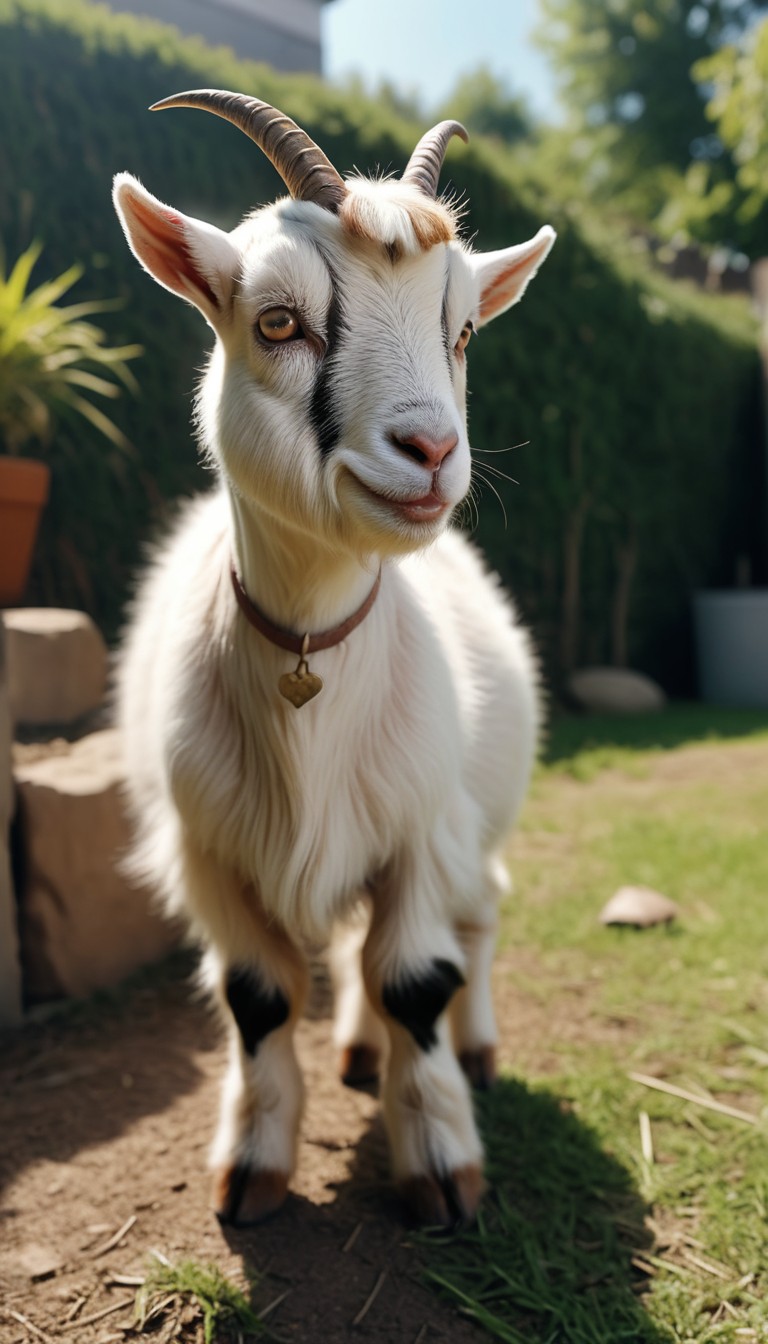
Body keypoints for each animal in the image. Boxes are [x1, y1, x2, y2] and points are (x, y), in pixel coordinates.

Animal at [113, 89, 555, 1229]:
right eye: (279, 320)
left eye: (463, 329)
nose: (431, 452)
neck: (312, 660)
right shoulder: (210, 853)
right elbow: (260, 996)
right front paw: (251, 1168)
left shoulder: (422, 832)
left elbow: (417, 981)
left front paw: (441, 1164)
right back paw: (359, 1052)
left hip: (474, 819)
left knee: (478, 917)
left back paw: (472, 1048)